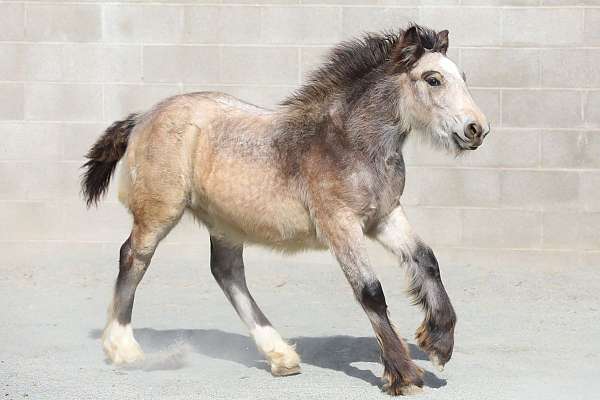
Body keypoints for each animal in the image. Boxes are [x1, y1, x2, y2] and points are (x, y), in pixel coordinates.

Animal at [81, 25, 488, 396]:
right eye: (433, 79)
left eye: (464, 77)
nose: (477, 129)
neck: (349, 142)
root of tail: (142, 118)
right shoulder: (340, 225)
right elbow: (370, 291)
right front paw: (404, 374)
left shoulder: (383, 217)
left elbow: (426, 260)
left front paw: (439, 343)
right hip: (160, 211)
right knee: (134, 257)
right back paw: (122, 348)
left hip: (225, 222)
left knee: (227, 273)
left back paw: (281, 356)